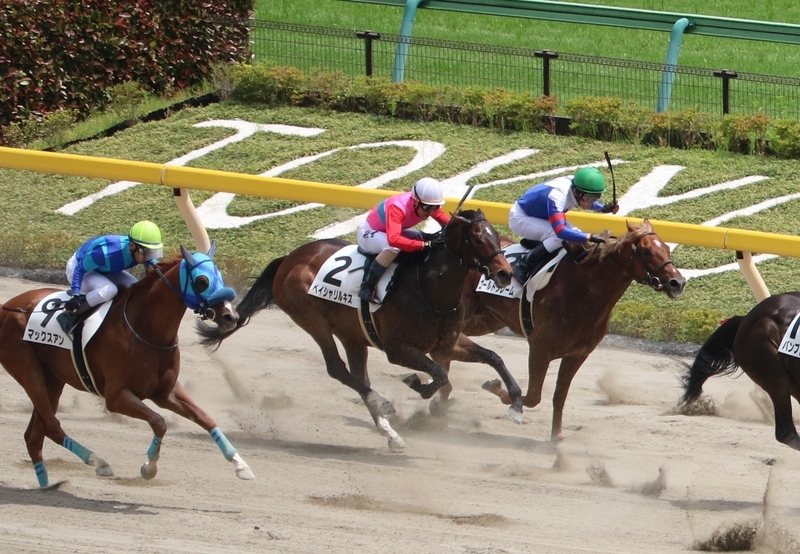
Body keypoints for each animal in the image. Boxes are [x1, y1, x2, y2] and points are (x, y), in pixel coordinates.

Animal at [0, 244, 255, 486]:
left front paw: (241, 465)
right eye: (202, 281)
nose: (230, 317)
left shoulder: (165, 391)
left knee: (35, 435)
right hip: (28, 371)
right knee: (51, 425)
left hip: (53, 379)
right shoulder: (116, 396)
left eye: (220, 275)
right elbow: (159, 422)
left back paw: (47, 485)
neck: (144, 329)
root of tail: (7, 306)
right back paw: (98, 462)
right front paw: (149, 468)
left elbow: (204, 417)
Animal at [200, 210, 512, 448]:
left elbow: (483, 360)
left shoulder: (446, 343)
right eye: (477, 237)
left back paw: (390, 432)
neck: (429, 287)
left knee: (358, 376)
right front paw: (416, 384)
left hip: (352, 334)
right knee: (337, 369)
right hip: (312, 319)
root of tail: (288, 259)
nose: (505, 273)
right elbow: (438, 374)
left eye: (496, 235)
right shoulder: (398, 349)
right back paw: (383, 405)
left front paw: (512, 397)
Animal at [440, 218, 684, 438]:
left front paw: (556, 437)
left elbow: (559, 395)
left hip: (482, 320)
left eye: (666, 248)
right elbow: (533, 396)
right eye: (646, 252)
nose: (677, 282)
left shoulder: (577, 355)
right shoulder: (540, 349)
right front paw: (499, 391)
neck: (583, 290)